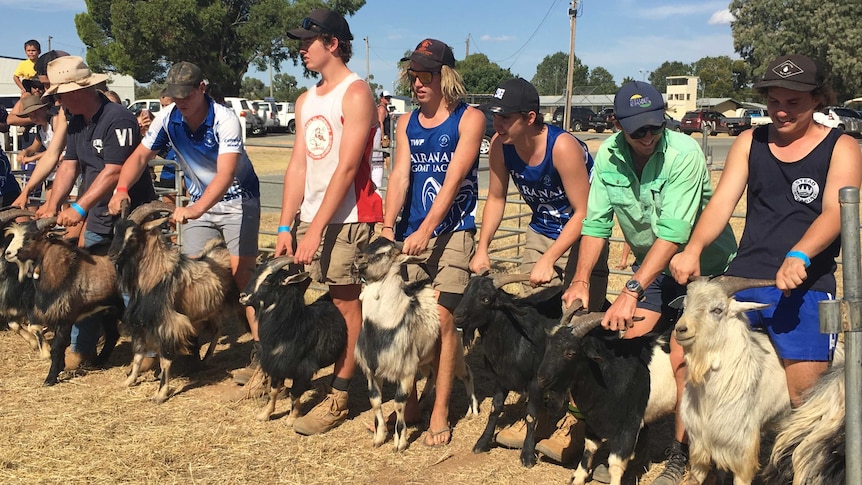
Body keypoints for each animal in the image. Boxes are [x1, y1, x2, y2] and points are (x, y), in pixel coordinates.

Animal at [109, 199, 243, 400]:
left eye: (132, 237)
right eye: (115, 231)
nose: (111, 255)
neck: (155, 276)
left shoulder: (168, 324)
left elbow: (165, 360)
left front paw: (160, 394)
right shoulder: (141, 322)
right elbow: (138, 354)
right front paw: (128, 381)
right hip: (211, 309)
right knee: (217, 329)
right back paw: (205, 359)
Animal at [240, 255, 348, 422]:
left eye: (268, 280)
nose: (242, 296)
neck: (293, 326)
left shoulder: (303, 369)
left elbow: (294, 393)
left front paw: (292, 418)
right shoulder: (276, 366)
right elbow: (273, 391)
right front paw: (265, 414)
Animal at [536, 308, 680, 482]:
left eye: (570, 353)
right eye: (548, 347)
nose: (541, 378)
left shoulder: (628, 426)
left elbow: (616, 464)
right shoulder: (593, 420)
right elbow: (589, 448)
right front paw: (578, 478)